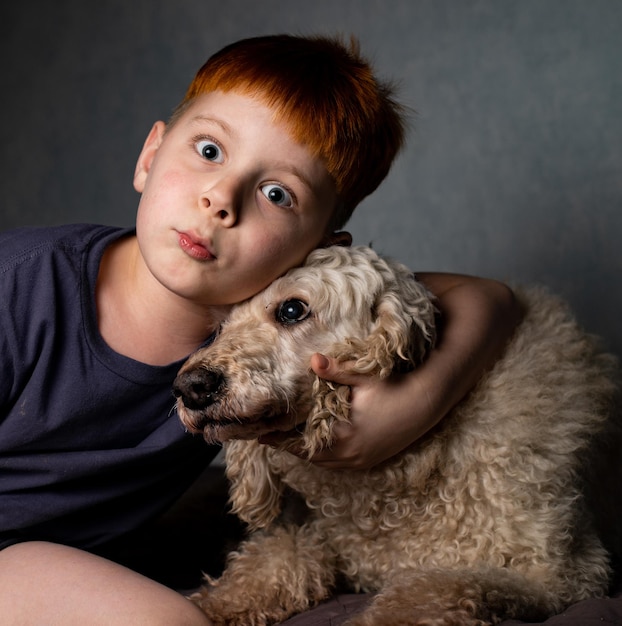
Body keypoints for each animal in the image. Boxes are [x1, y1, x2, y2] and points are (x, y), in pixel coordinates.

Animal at [173, 244, 620, 624]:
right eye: (221, 326)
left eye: (292, 309)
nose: (189, 387)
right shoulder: (320, 538)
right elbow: (274, 558)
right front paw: (212, 606)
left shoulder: (558, 578)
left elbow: (429, 593)